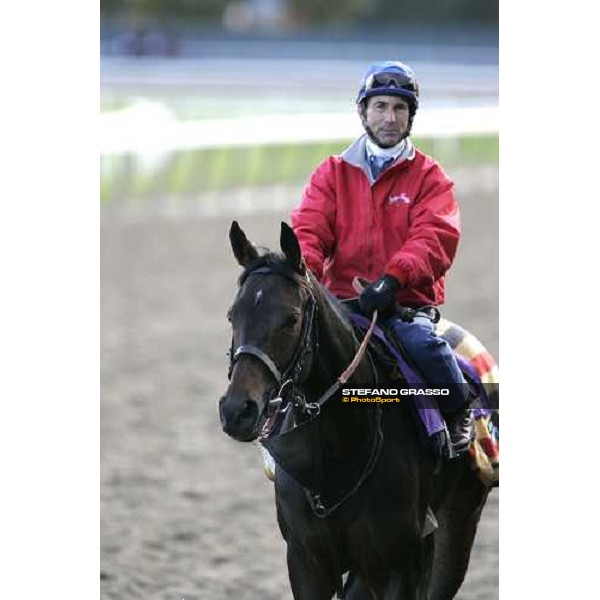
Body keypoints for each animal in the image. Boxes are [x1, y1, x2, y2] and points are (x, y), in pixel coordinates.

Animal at [219, 223, 492, 600]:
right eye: (233, 315)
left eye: (291, 318)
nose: (238, 410)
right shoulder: (307, 561)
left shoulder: (400, 562)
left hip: (458, 523)